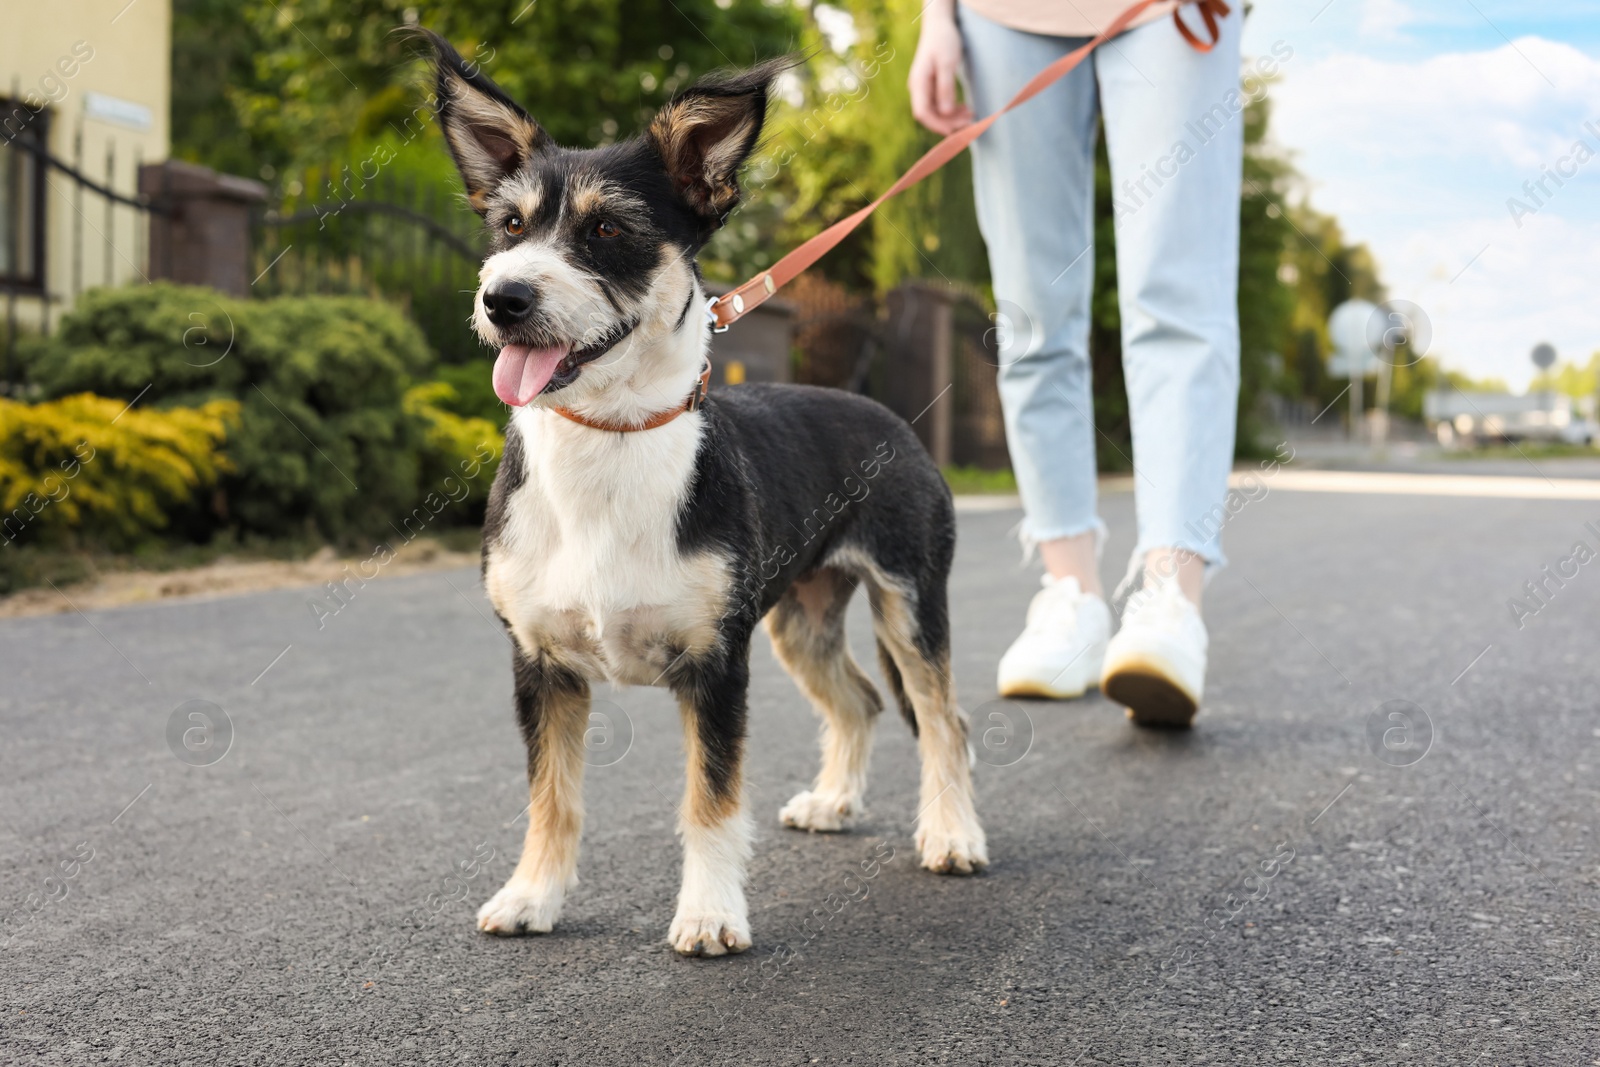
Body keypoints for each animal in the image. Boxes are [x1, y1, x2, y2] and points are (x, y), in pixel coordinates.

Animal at [419, 33, 979, 953]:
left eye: (608, 228)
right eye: (510, 226)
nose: (504, 298)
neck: (609, 443)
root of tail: (890, 418)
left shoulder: (717, 667)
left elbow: (710, 801)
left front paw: (711, 913)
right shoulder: (540, 666)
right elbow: (551, 797)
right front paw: (533, 894)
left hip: (909, 598)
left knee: (942, 719)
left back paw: (953, 833)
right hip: (801, 616)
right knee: (860, 699)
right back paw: (835, 800)